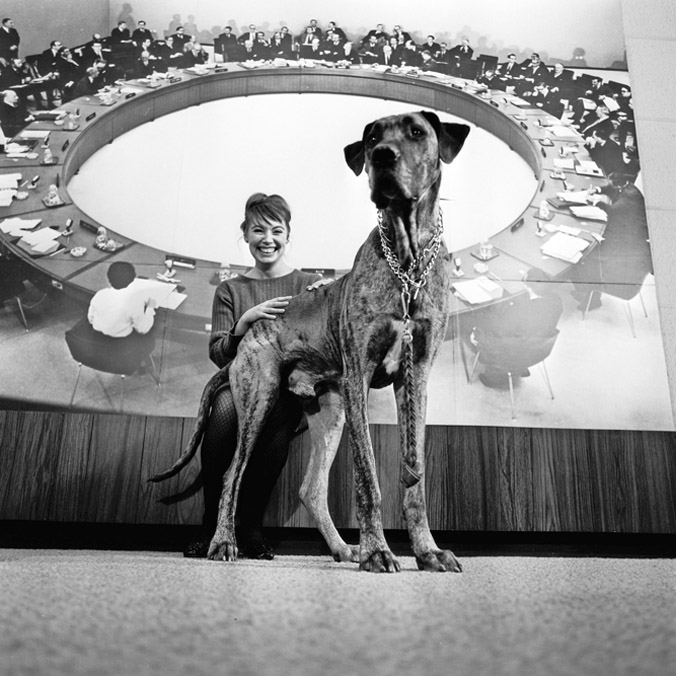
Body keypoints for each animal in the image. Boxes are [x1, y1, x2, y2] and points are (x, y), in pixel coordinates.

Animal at [152, 109, 470, 572]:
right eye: (372, 137)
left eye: (416, 131)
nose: (381, 155)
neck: (407, 262)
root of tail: (249, 335)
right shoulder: (359, 377)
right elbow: (367, 477)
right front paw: (378, 551)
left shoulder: (416, 378)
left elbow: (415, 479)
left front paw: (427, 552)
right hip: (260, 397)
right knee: (232, 473)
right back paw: (223, 542)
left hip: (330, 412)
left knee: (311, 489)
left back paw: (341, 548)